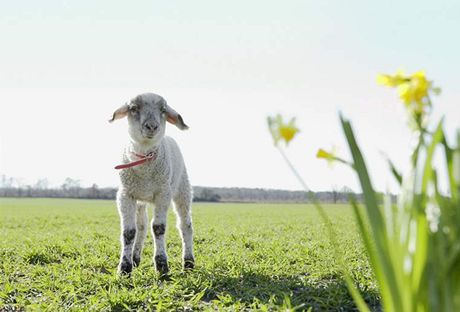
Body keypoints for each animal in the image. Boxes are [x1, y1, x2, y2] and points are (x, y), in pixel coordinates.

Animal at [108, 92, 193, 276]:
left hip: (182, 189)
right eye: (133, 108)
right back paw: (135, 258)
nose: (152, 126)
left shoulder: (163, 194)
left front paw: (162, 266)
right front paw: (124, 268)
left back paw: (189, 262)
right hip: (140, 199)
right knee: (142, 226)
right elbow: (129, 232)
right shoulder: (125, 195)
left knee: (185, 224)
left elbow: (159, 228)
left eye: (163, 110)